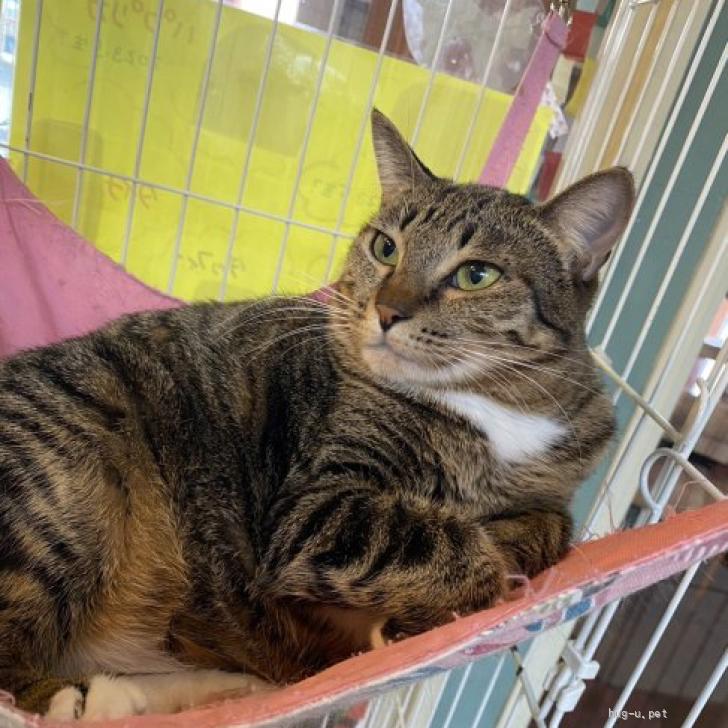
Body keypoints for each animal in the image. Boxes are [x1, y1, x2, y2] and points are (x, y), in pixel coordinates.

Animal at [0, 109, 633, 720]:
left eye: (477, 275)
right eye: (386, 248)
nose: (387, 310)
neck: (495, 405)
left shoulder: (563, 473)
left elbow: (554, 522)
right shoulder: (315, 509)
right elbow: (440, 538)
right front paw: (453, 596)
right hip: (70, 480)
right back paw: (81, 701)